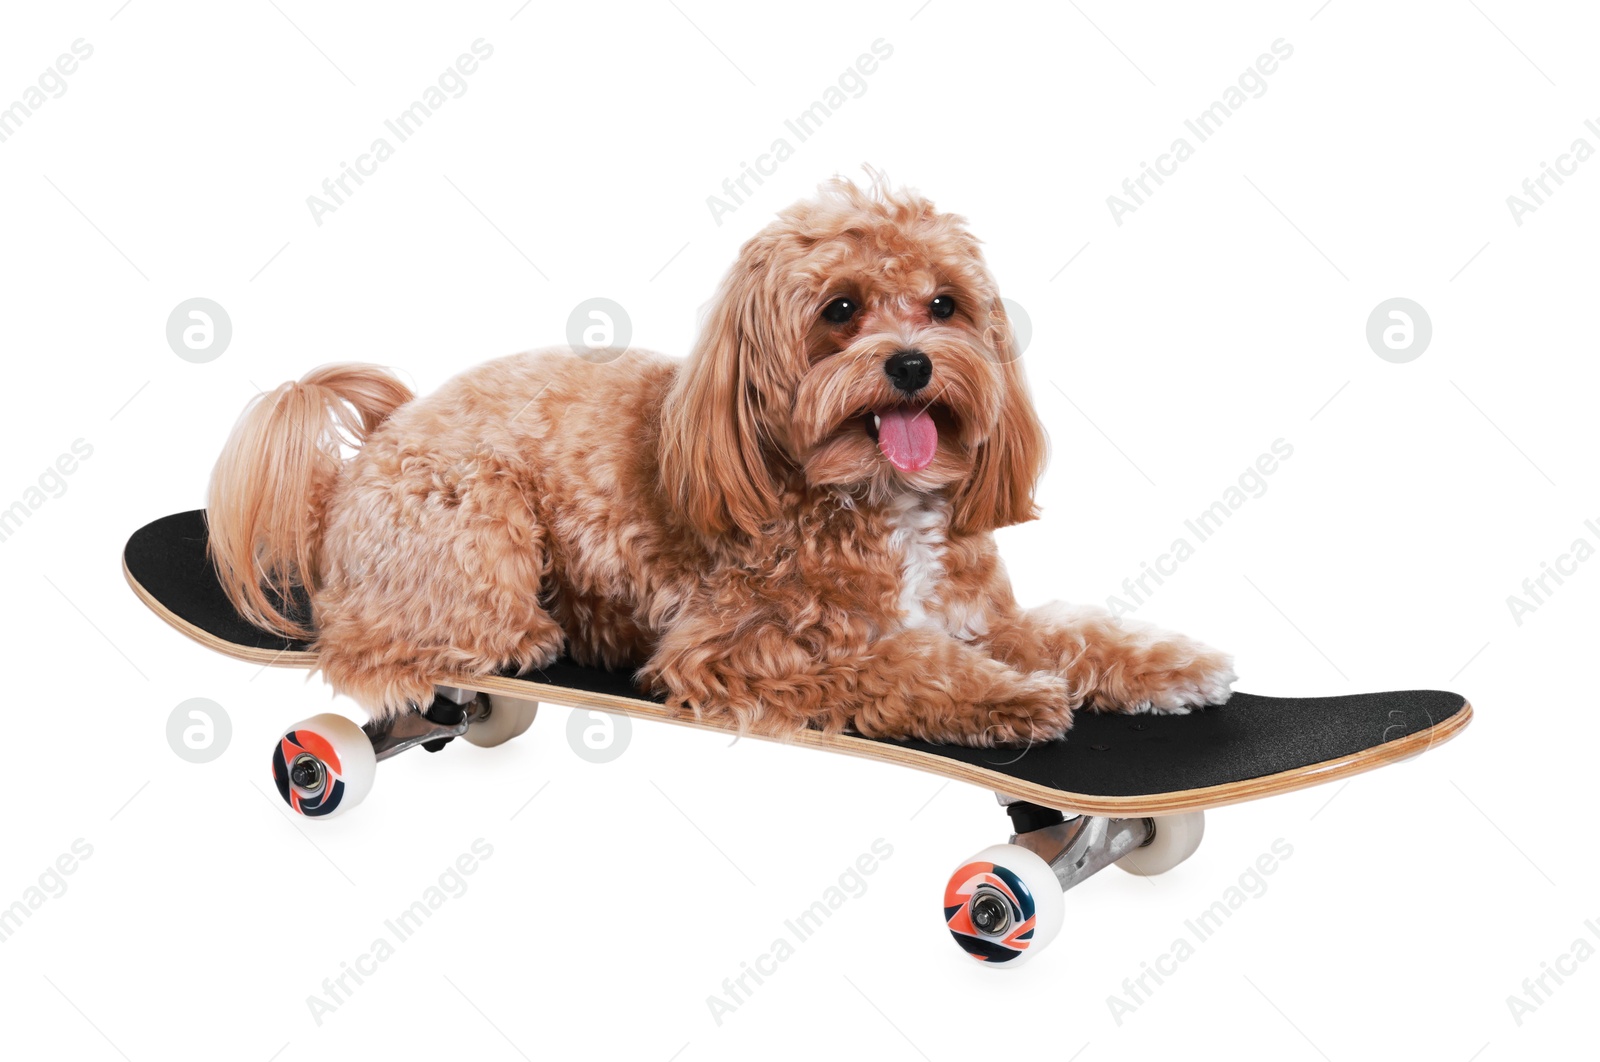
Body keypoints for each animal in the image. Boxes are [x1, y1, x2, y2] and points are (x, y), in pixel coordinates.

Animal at [209, 175, 1235, 745]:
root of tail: (354, 469)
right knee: (383, 646)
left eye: (945, 304)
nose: (911, 364)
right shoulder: (739, 649)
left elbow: (1075, 633)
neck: (873, 498)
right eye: (841, 309)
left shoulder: (982, 612)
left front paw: (1171, 665)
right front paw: (1006, 697)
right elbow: (895, 664)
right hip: (475, 517)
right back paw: (527, 639)